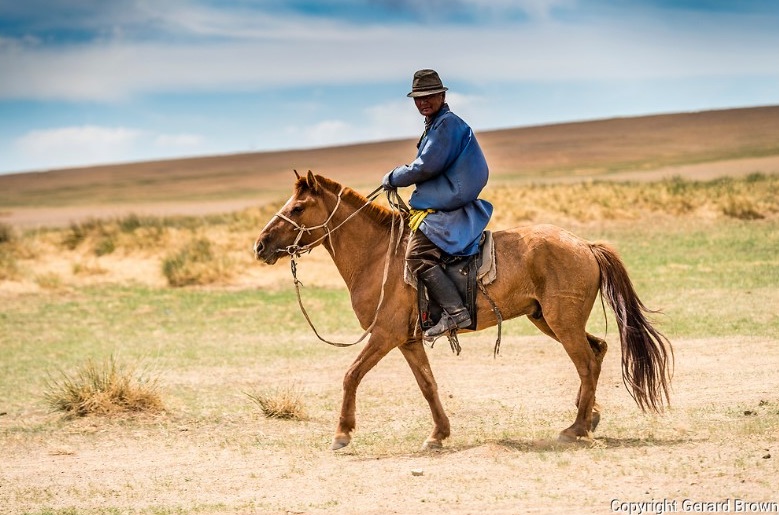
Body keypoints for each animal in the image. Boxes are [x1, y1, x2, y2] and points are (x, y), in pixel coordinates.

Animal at [253, 171, 672, 450]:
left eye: (298, 208)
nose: (260, 245)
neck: (377, 256)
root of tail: (584, 245)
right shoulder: (407, 340)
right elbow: (428, 385)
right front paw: (438, 435)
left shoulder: (384, 335)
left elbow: (351, 375)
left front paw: (342, 433)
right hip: (547, 321)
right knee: (597, 351)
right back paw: (589, 418)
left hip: (562, 324)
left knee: (585, 362)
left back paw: (577, 428)